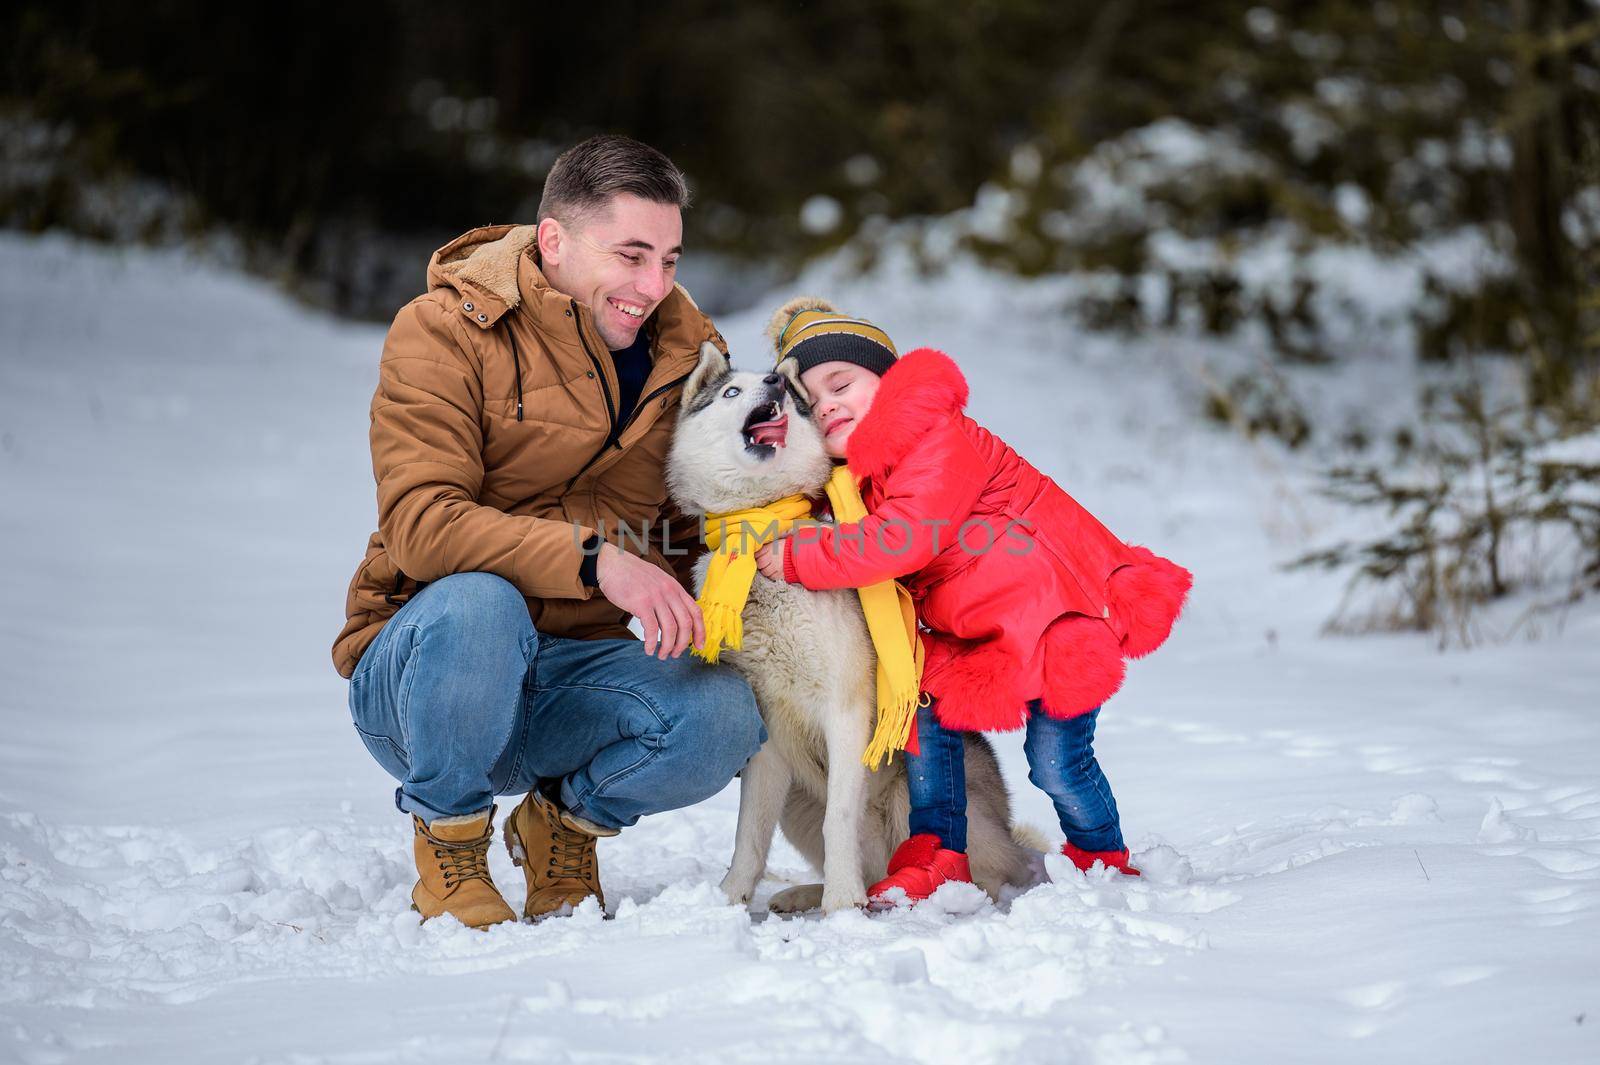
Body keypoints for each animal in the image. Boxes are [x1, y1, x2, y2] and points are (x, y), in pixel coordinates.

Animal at [662, 342, 1036, 914]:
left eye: (782, 391)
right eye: (731, 391)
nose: (774, 381)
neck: (762, 533)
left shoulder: (845, 714)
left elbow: (840, 818)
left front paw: (842, 905)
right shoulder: (767, 740)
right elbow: (748, 835)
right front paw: (727, 900)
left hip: (911, 800)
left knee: (980, 874)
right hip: (797, 803)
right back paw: (807, 895)